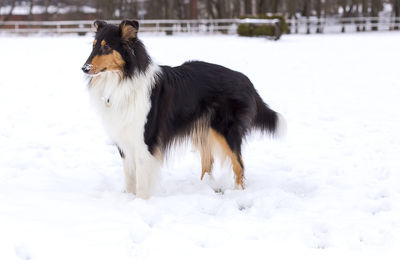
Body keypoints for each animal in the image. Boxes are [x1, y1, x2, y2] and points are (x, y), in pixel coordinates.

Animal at [82, 20, 284, 198]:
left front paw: (141, 201)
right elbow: (130, 176)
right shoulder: (125, 139)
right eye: (93, 46)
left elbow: (142, 178)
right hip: (204, 130)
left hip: (225, 131)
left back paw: (238, 193)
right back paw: (204, 188)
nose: (84, 68)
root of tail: (245, 79)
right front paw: (129, 198)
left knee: (239, 165)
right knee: (208, 162)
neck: (123, 79)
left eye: (106, 47)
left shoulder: (145, 140)